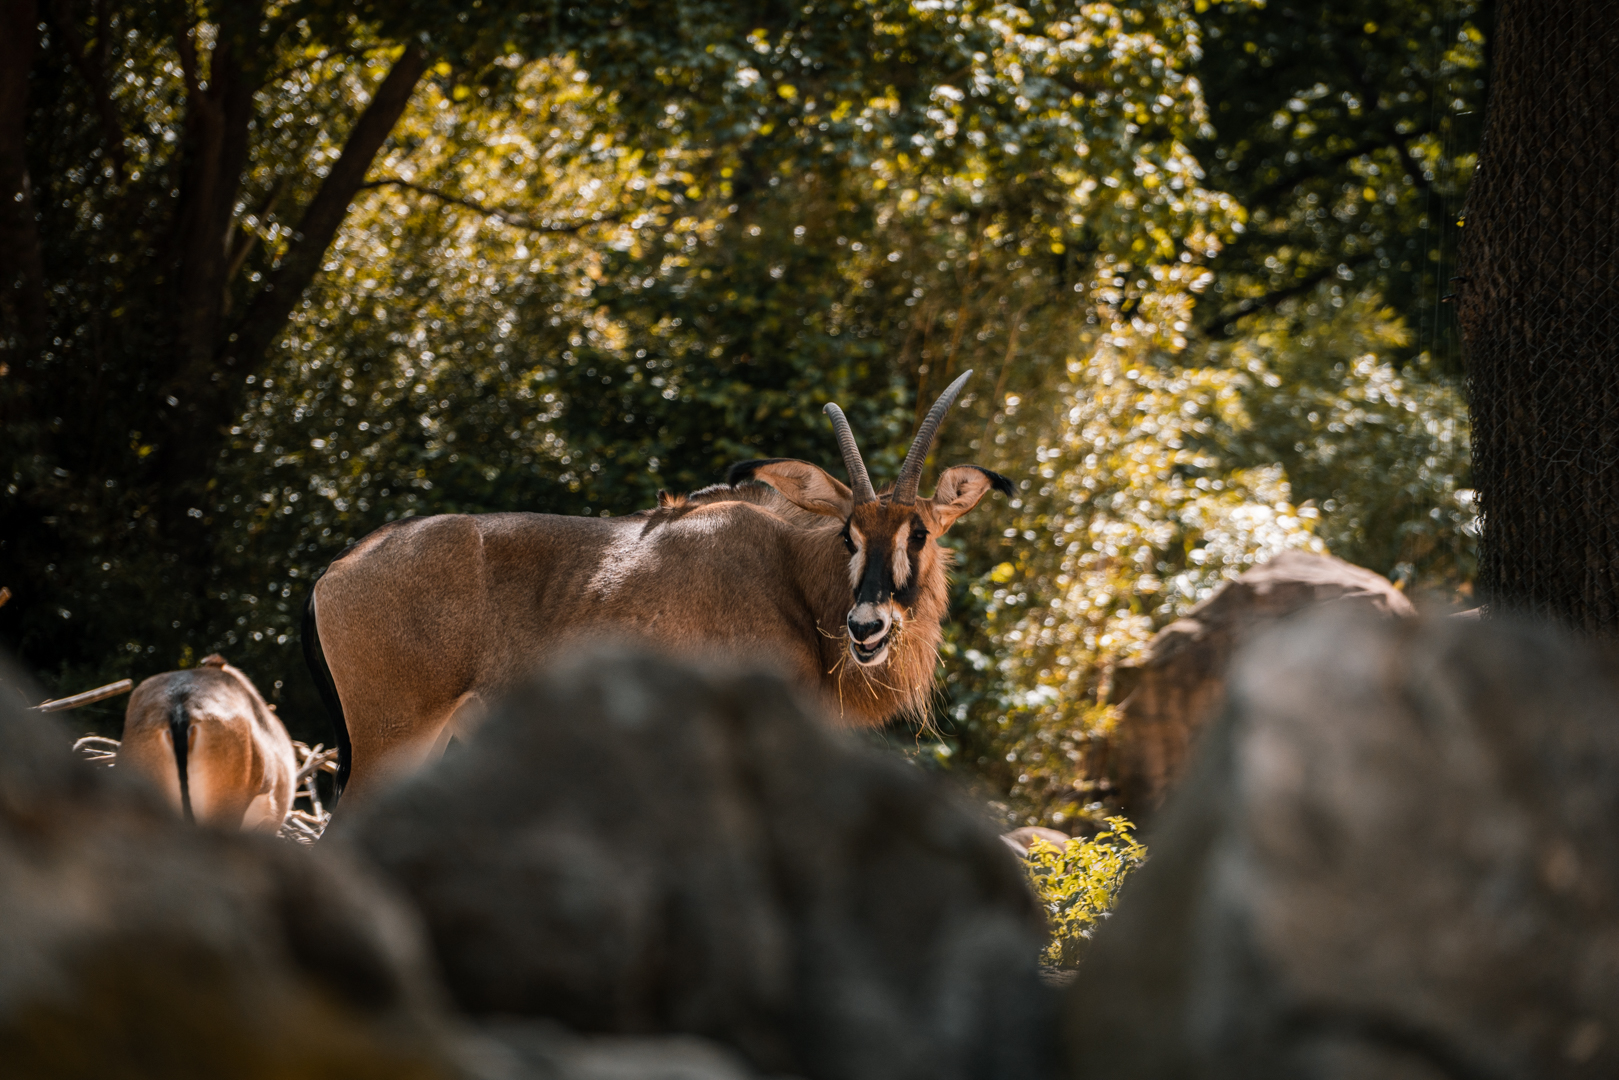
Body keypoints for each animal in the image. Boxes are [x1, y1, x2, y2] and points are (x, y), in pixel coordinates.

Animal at [305, 371, 1012, 802]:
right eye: (849, 534)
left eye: (918, 532)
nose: (867, 628)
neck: (790, 573)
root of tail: (335, 572)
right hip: (394, 737)